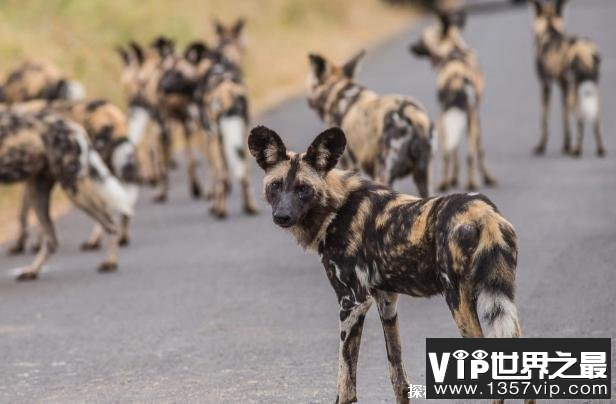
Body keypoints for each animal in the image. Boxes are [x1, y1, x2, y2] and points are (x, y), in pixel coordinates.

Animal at [0, 110, 132, 280]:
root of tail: (73, 125)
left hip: (74, 188)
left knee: (110, 224)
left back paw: (110, 262)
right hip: (38, 191)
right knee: (52, 240)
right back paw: (33, 270)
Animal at [250, 124, 536, 402]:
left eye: (303, 188)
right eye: (276, 185)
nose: (282, 216)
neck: (335, 207)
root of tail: (484, 213)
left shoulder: (352, 303)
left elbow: (345, 385)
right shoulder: (386, 301)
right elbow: (399, 377)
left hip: (458, 300)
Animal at [412, 11, 498, 191]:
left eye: (421, 39)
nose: (410, 47)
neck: (453, 51)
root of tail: (456, 78)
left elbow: (456, 151)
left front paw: (454, 179)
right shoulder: (475, 116)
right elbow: (479, 151)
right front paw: (487, 178)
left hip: (442, 119)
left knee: (447, 153)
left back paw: (445, 183)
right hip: (467, 119)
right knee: (469, 154)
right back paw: (471, 183)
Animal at [528, 0, 604, 156]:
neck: (550, 30)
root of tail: (584, 50)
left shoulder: (546, 84)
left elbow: (544, 119)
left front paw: (541, 146)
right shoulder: (564, 86)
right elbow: (565, 117)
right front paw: (566, 145)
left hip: (576, 91)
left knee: (580, 118)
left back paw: (577, 150)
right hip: (590, 87)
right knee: (597, 117)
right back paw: (600, 149)